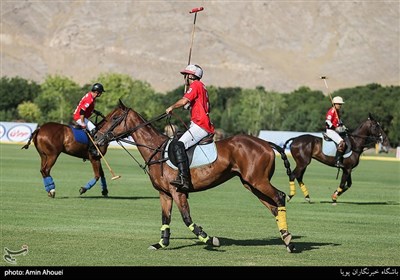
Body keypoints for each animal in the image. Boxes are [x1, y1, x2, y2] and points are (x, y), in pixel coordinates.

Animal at [94, 99, 294, 253]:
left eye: (115, 117)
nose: (96, 137)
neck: (156, 151)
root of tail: (267, 144)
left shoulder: (177, 191)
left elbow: (186, 218)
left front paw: (209, 239)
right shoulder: (164, 194)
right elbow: (165, 218)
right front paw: (161, 243)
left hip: (258, 180)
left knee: (279, 196)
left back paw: (289, 242)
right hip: (250, 183)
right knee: (273, 207)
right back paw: (286, 238)